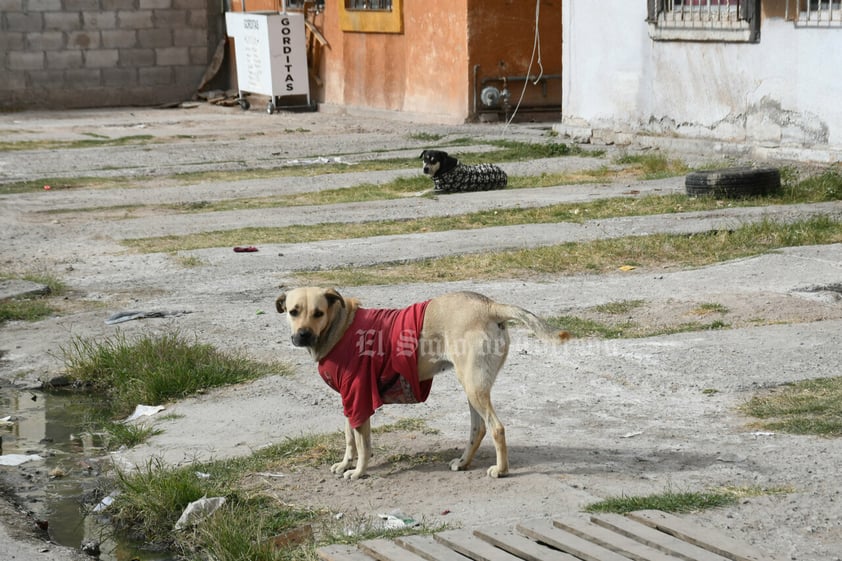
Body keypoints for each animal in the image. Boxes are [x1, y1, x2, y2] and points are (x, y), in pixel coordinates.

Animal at [272, 286, 568, 480]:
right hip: (472, 387)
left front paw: (358, 471)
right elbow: (349, 438)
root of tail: (489, 305)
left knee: (496, 427)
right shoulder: (349, 400)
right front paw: (345, 464)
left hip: (473, 385)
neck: (340, 326)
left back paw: (501, 470)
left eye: (318, 313)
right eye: (293, 311)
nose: (302, 335)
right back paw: (463, 463)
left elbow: (363, 443)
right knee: (479, 427)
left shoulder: (359, 397)